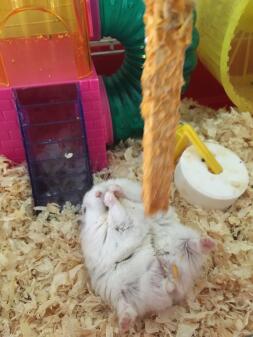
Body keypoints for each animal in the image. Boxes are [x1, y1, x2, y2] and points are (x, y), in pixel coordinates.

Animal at [80, 178, 214, 330]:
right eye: (84, 208)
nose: (99, 193)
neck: (105, 214)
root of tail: (167, 285)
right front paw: (111, 194)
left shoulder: (136, 205)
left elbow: (125, 199)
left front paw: (114, 190)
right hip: (118, 292)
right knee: (126, 308)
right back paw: (123, 325)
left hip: (182, 242)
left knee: (194, 246)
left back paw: (208, 243)